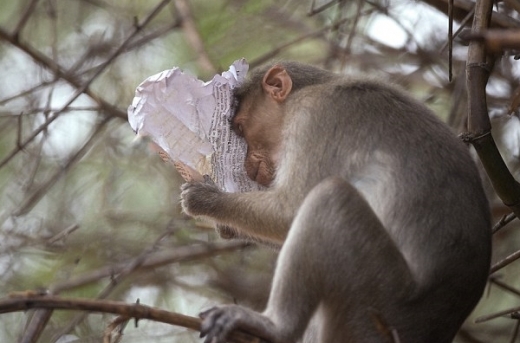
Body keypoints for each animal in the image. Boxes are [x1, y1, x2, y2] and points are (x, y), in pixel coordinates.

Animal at [182, 61, 492, 343]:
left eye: (240, 127)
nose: (246, 165)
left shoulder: (313, 115)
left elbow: (290, 209)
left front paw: (206, 200)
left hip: (376, 304)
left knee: (330, 197)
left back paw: (275, 327)